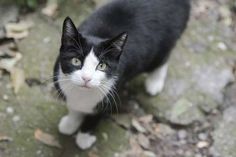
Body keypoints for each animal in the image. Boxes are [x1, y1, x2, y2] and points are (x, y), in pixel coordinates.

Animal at [53, 0, 190, 150]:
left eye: (102, 66)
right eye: (76, 61)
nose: (86, 78)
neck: (82, 93)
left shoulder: (110, 95)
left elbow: (94, 117)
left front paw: (84, 138)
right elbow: (74, 108)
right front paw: (70, 123)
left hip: (164, 43)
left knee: (162, 59)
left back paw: (154, 82)